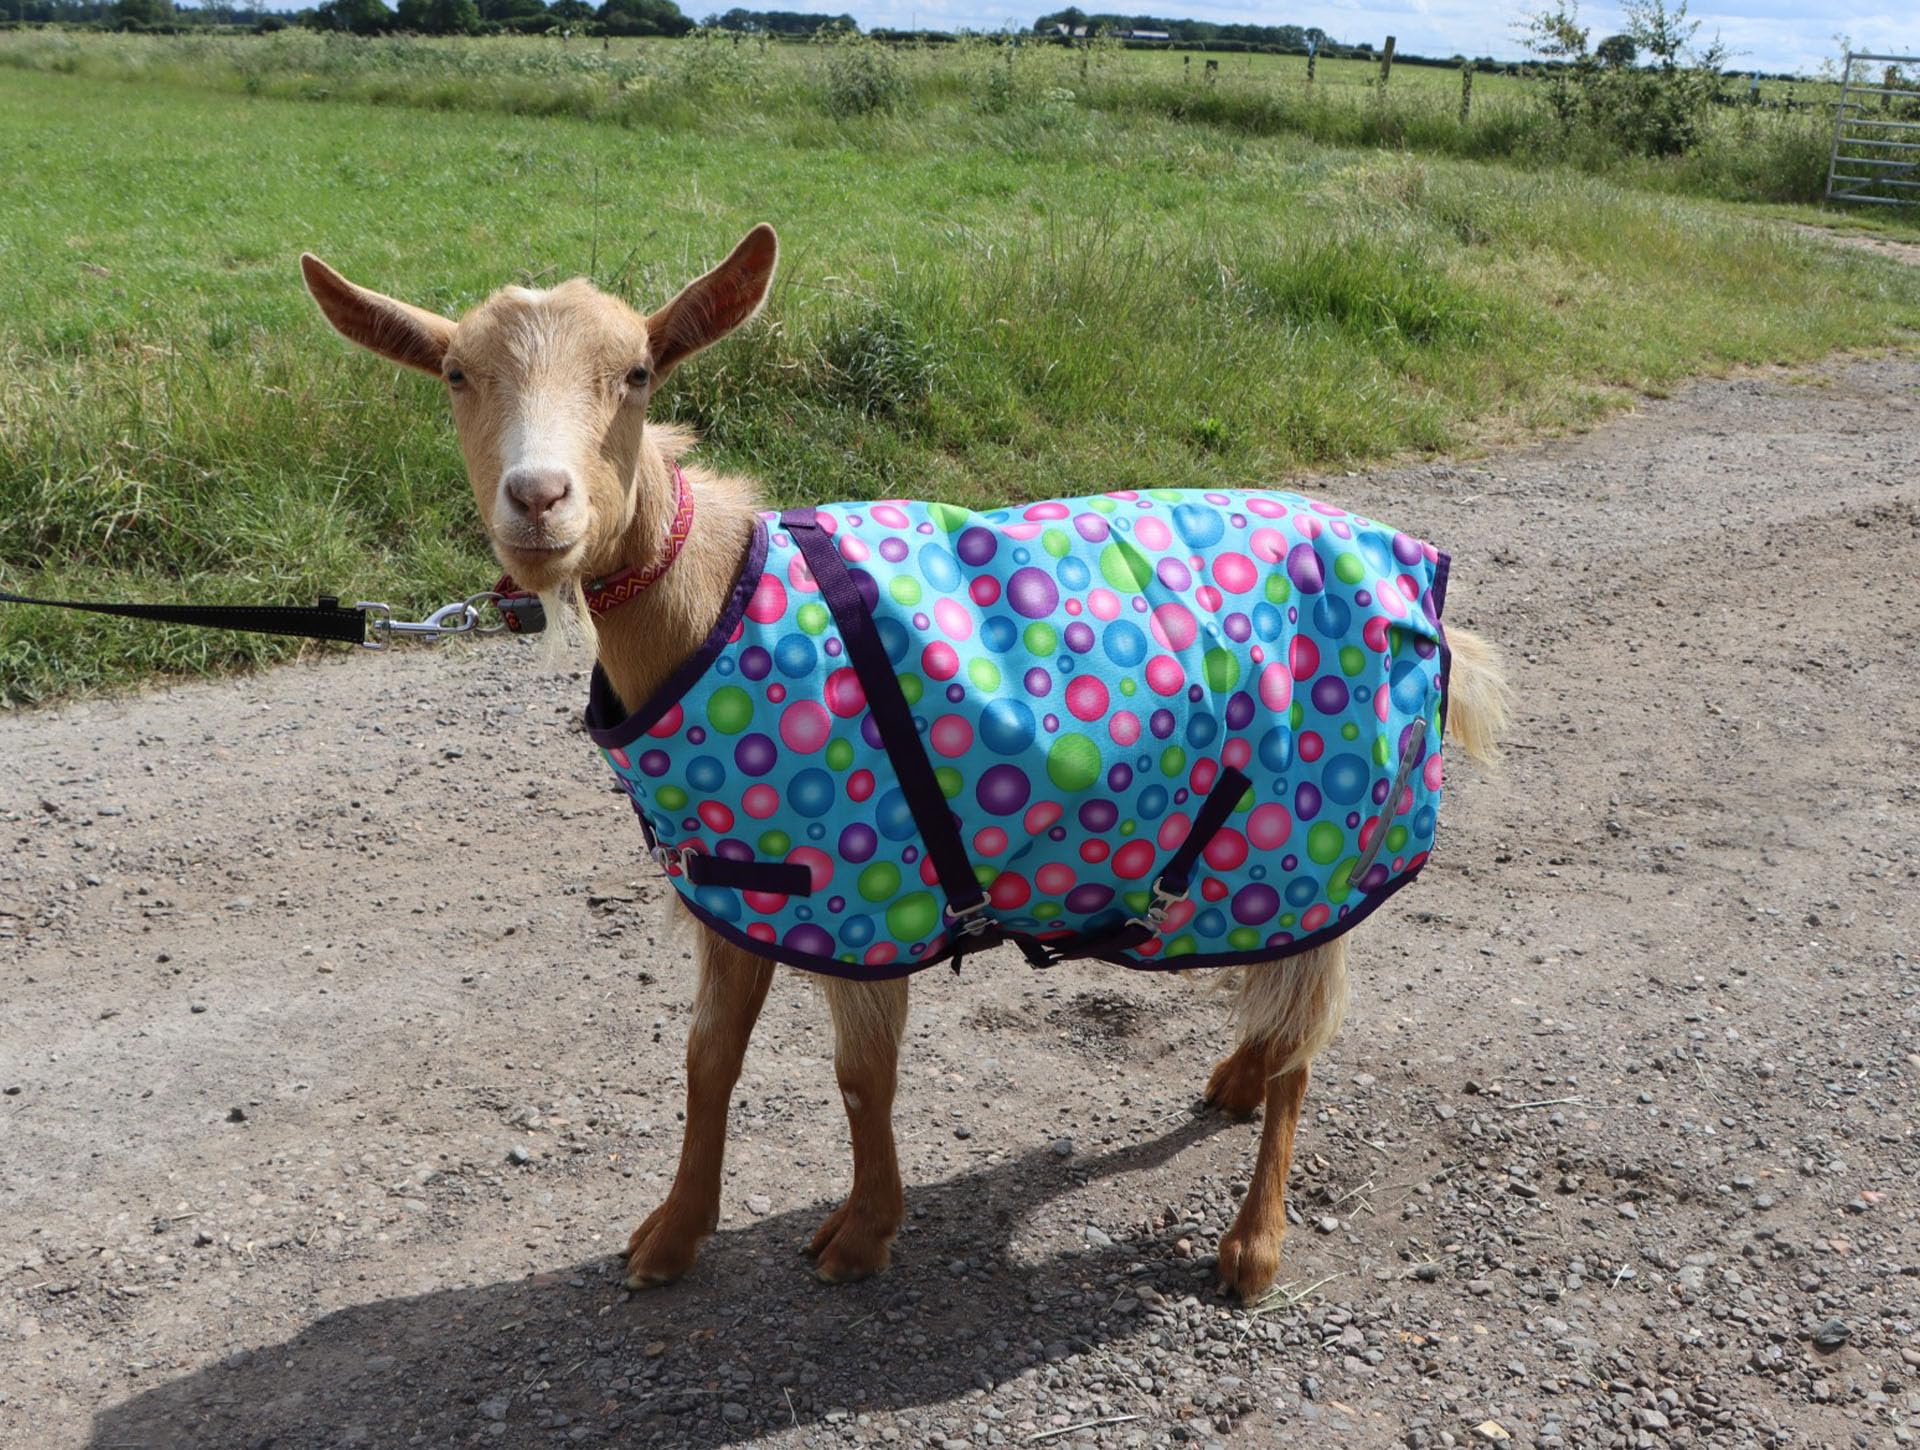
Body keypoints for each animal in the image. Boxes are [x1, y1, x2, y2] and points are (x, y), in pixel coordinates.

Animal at [300, 225, 1509, 1300]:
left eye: (638, 372)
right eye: (456, 374)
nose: (539, 499)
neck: (715, 601)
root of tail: (1415, 571)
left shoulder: (868, 887)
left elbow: (859, 1076)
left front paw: (863, 1233)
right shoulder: (742, 883)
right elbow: (708, 1058)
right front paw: (673, 1236)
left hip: (1320, 828)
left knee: (1305, 1038)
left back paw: (1252, 1244)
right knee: (1277, 999)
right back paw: (1236, 1083)